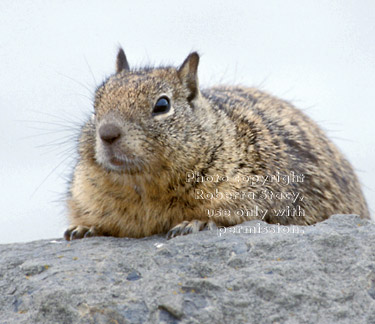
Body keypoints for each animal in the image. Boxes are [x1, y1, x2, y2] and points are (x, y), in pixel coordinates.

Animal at [63, 48, 372, 240]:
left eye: (162, 105)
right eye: (95, 105)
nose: (107, 134)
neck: (146, 189)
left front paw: (196, 222)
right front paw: (84, 229)